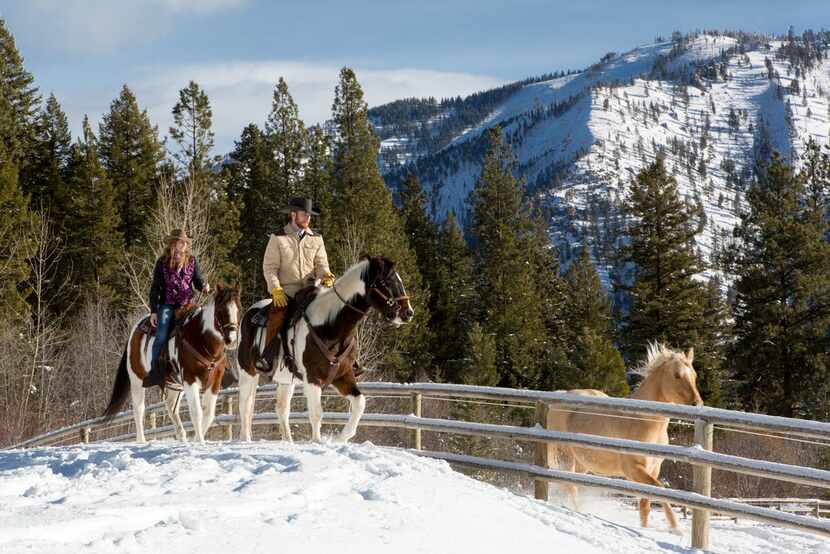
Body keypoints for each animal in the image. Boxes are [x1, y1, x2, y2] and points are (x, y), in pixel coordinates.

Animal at [102, 282, 242, 442]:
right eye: (220, 310)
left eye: (239, 309)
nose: (231, 340)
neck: (201, 340)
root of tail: (135, 330)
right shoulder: (190, 380)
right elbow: (197, 412)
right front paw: (200, 441)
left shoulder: (215, 382)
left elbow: (209, 414)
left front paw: (196, 439)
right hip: (137, 380)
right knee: (139, 409)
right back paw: (141, 440)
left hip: (175, 385)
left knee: (171, 407)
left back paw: (181, 436)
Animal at [234, 256, 416, 442]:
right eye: (385, 282)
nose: (408, 313)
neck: (329, 326)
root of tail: (250, 312)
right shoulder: (313, 378)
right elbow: (316, 413)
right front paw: (317, 441)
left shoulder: (343, 375)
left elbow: (360, 403)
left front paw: (341, 438)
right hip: (248, 372)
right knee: (245, 406)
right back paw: (245, 439)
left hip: (286, 381)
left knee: (282, 409)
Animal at [548, 340, 704, 532]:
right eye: (677, 375)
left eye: (694, 375)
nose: (697, 404)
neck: (641, 420)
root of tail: (561, 395)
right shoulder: (634, 469)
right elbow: (659, 489)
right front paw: (675, 529)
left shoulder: (654, 468)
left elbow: (645, 505)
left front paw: (646, 528)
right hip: (565, 456)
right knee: (570, 487)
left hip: (582, 462)